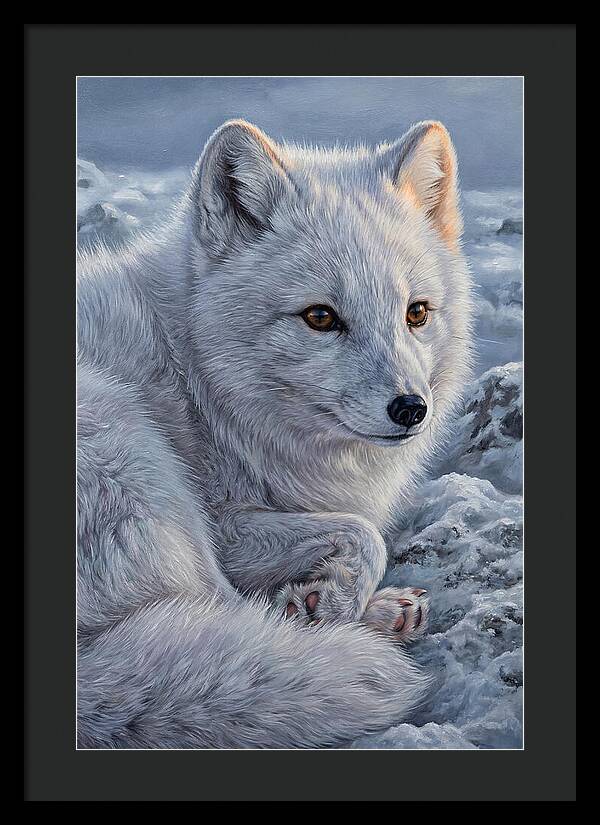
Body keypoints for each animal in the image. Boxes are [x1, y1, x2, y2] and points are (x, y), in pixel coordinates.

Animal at [77, 118, 473, 749]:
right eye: (320, 317)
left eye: (416, 313)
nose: (412, 409)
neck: (196, 377)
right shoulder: (224, 523)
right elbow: (366, 534)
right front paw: (330, 601)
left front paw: (326, 597)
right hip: (131, 450)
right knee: (221, 610)